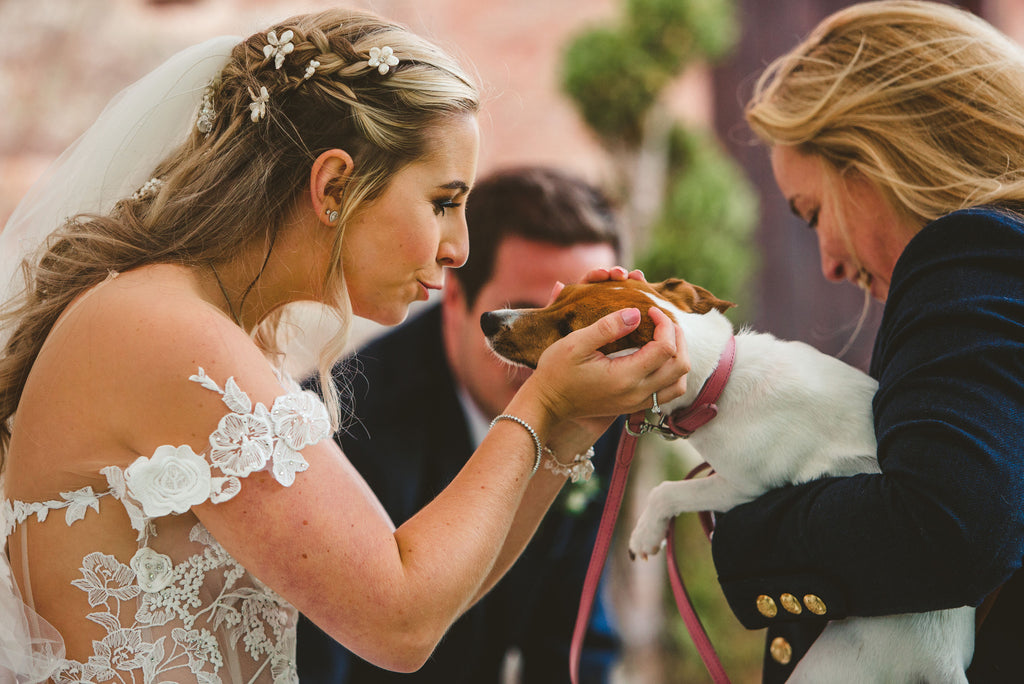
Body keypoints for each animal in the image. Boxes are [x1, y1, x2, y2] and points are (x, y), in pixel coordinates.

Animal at [479, 278, 974, 684]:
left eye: (568, 328)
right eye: (558, 297)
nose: (488, 319)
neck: (721, 378)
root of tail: (943, 662)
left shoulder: (741, 486)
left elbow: (668, 490)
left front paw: (646, 532)